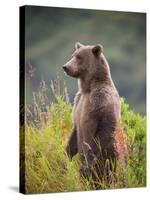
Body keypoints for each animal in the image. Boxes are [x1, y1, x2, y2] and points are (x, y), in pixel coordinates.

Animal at [62, 41, 120, 185]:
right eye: (73, 55)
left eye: (79, 57)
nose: (65, 67)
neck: (88, 88)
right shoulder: (78, 103)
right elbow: (74, 132)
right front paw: (65, 157)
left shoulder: (102, 100)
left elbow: (105, 128)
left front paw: (85, 166)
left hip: (109, 156)